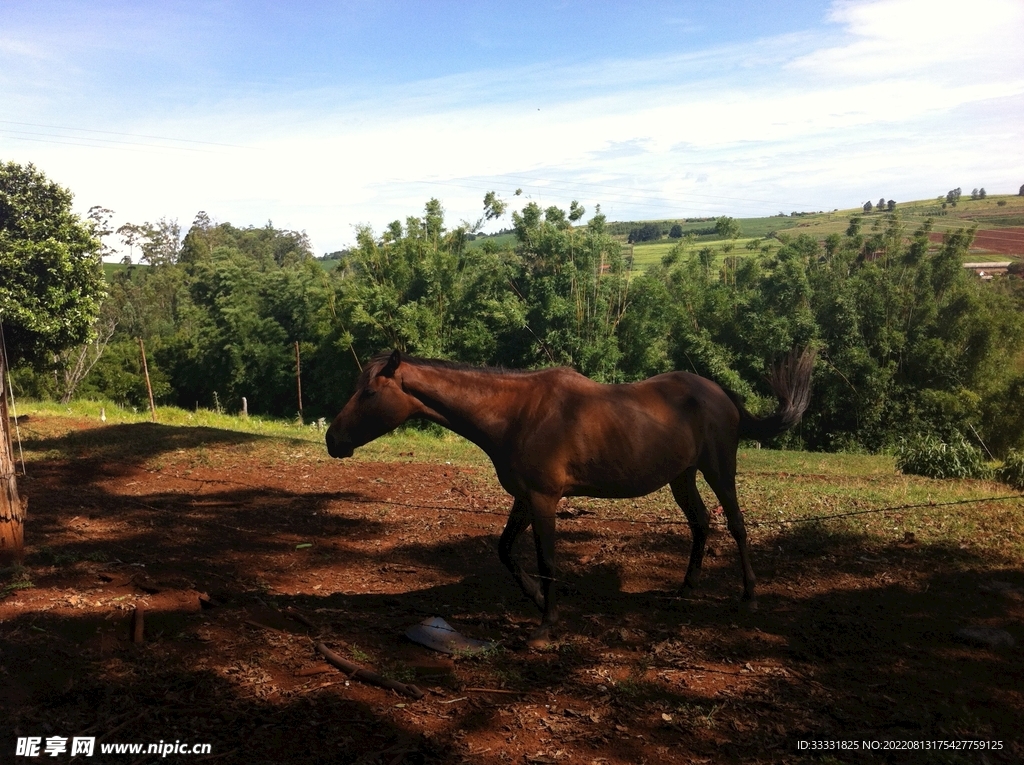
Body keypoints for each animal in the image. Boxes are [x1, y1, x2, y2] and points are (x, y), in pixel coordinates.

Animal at [326, 349, 814, 647]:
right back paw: (685, 590)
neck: (516, 413)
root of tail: (718, 392)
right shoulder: (525, 498)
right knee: (700, 523)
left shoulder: (544, 499)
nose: (332, 439)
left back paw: (749, 596)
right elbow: (505, 551)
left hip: (718, 470)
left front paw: (546, 625)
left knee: (736, 525)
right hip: (682, 477)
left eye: (369, 392)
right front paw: (538, 601)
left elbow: (547, 560)